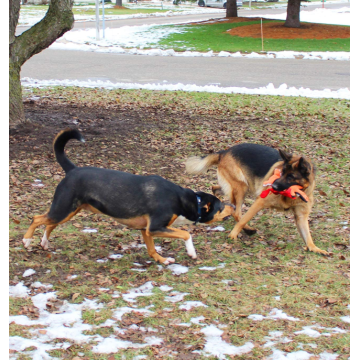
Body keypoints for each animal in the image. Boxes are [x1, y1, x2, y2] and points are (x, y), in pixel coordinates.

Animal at [22, 129, 233, 264]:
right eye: (221, 207)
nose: (233, 206)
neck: (185, 200)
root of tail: (72, 169)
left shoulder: (146, 230)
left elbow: (152, 249)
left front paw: (162, 260)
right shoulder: (156, 227)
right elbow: (186, 234)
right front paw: (191, 252)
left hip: (68, 211)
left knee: (49, 224)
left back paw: (44, 243)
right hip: (63, 208)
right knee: (37, 218)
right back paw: (26, 241)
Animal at [186, 143, 330, 256]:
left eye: (291, 176)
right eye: (281, 173)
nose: (273, 186)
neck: (291, 195)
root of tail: (224, 152)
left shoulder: (301, 216)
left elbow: (307, 235)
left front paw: (314, 248)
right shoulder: (260, 202)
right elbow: (243, 219)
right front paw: (233, 234)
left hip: (238, 187)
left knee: (216, 189)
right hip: (242, 187)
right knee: (237, 213)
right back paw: (248, 229)